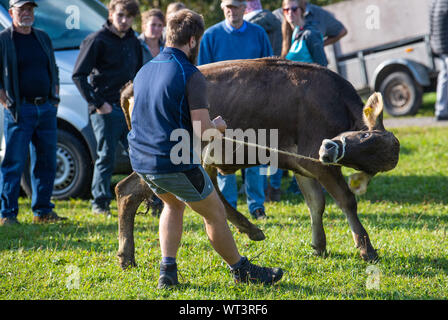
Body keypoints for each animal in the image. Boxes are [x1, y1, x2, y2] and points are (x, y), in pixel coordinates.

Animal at [114, 57, 400, 268]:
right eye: (364, 135)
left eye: (366, 166)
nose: (328, 150)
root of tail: (133, 85)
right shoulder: (320, 164)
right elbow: (346, 200)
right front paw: (366, 248)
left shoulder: (305, 165)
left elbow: (316, 204)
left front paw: (319, 245)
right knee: (125, 190)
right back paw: (127, 255)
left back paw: (249, 228)